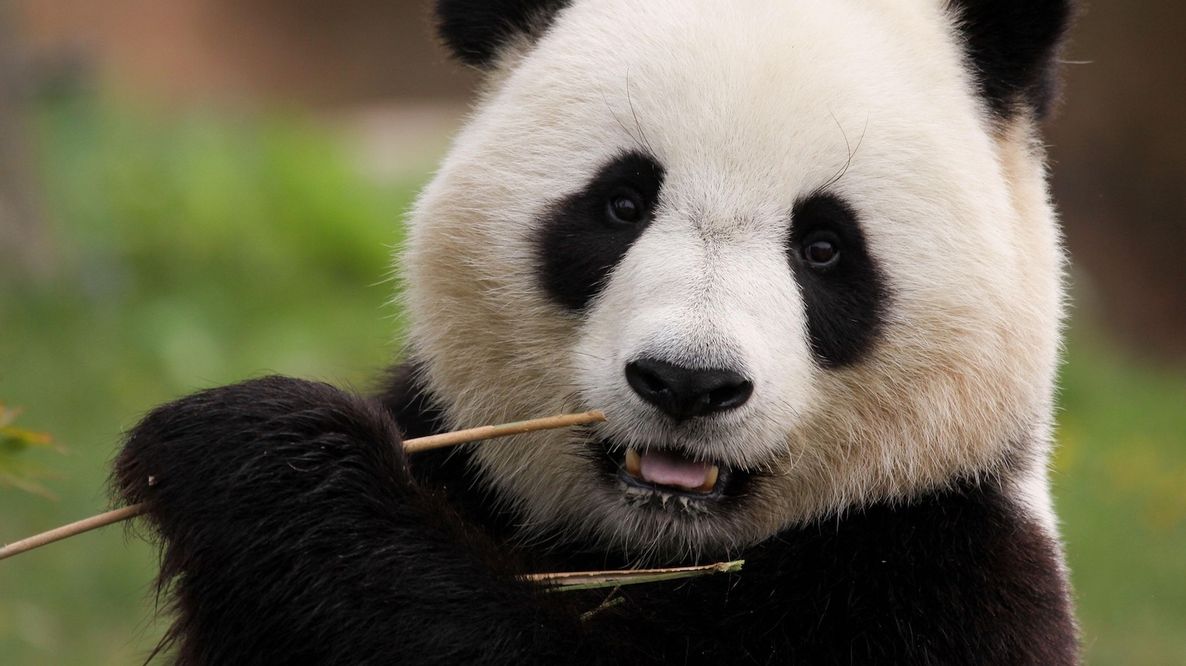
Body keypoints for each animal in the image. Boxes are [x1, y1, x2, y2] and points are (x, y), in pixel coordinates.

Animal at [114, 0, 1079, 663]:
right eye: (621, 203)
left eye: (825, 246)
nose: (688, 382)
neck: (647, 548)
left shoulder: (931, 582)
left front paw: (252, 448)